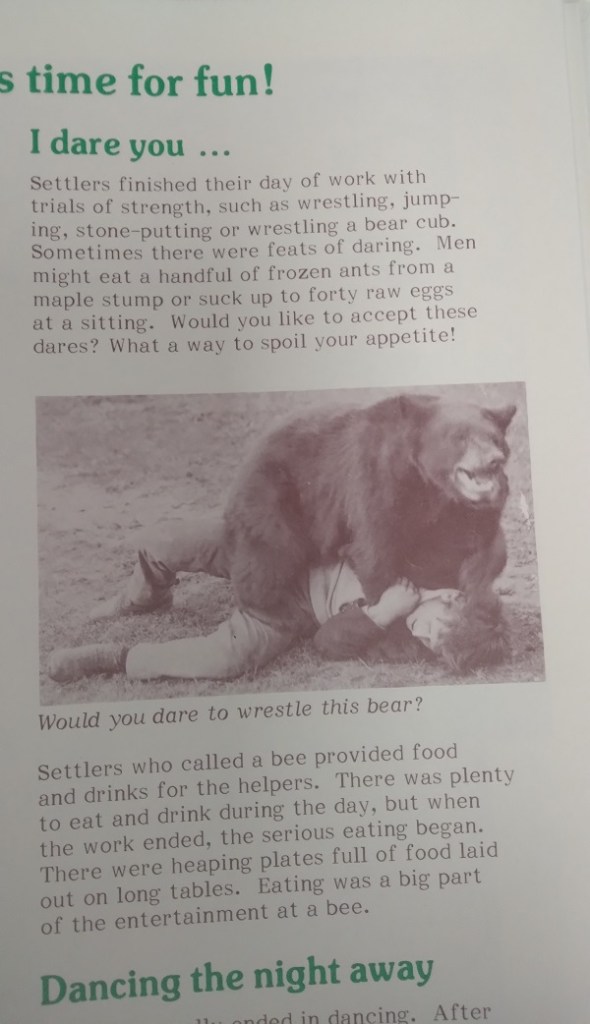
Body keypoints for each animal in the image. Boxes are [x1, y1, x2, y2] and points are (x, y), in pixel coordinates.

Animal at [223, 392, 516, 615]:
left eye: (495, 438)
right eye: (460, 437)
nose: (494, 460)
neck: (433, 488)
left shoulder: (466, 511)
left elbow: (485, 548)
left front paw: (480, 597)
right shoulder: (379, 481)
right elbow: (377, 551)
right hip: (271, 493)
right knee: (269, 557)